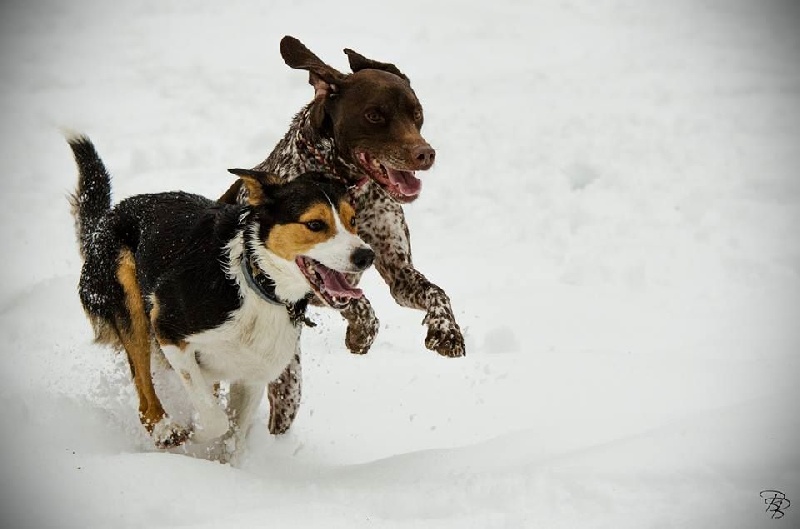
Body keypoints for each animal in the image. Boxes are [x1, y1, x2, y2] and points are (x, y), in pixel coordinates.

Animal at [67, 134, 374, 456]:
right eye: (315, 224)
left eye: (353, 221)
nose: (366, 256)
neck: (256, 283)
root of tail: (105, 219)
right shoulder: (169, 330)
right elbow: (215, 420)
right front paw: (195, 434)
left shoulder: (253, 374)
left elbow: (233, 438)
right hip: (128, 298)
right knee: (144, 392)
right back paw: (165, 429)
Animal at [220, 36, 468, 434]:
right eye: (374, 115)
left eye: (416, 113)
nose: (425, 154)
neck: (345, 186)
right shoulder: (302, 277)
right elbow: (357, 302)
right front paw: (361, 332)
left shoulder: (398, 272)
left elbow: (437, 293)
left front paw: (446, 332)